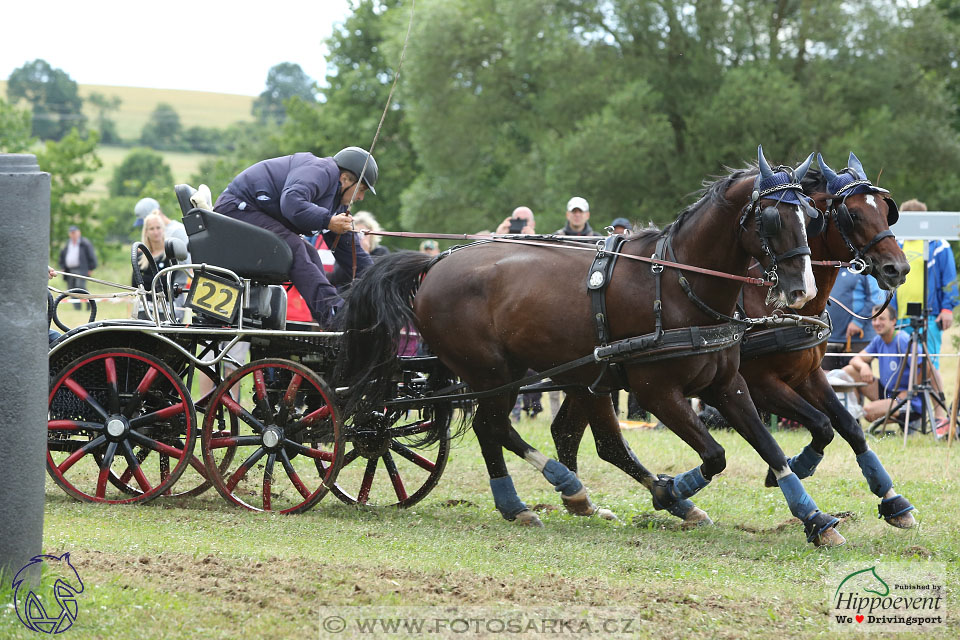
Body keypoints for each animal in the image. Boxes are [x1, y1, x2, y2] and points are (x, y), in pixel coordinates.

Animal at [334, 148, 844, 548]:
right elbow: (715, 455)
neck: (680, 285)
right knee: (493, 426)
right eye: (773, 218)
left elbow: (770, 448)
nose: (800, 289)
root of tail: (434, 263)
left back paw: (552, 497)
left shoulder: (727, 384)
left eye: (811, 217)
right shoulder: (656, 391)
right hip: (493, 374)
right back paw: (543, 494)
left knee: (520, 431)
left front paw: (816, 519)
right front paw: (671, 493)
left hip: (549, 375)